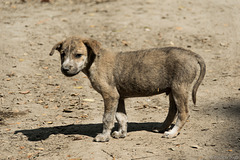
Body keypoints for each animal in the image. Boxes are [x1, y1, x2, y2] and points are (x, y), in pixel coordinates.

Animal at [49, 37, 206, 142]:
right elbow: (121, 117)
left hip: (180, 89)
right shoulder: (118, 97)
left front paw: (104, 136)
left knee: (184, 113)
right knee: (173, 111)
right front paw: (121, 133)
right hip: (173, 91)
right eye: (62, 54)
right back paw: (162, 128)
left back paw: (172, 133)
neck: (94, 62)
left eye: (78, 55)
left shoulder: (110, 95)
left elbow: (107, 118)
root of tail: (192, 54)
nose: (65, 69)